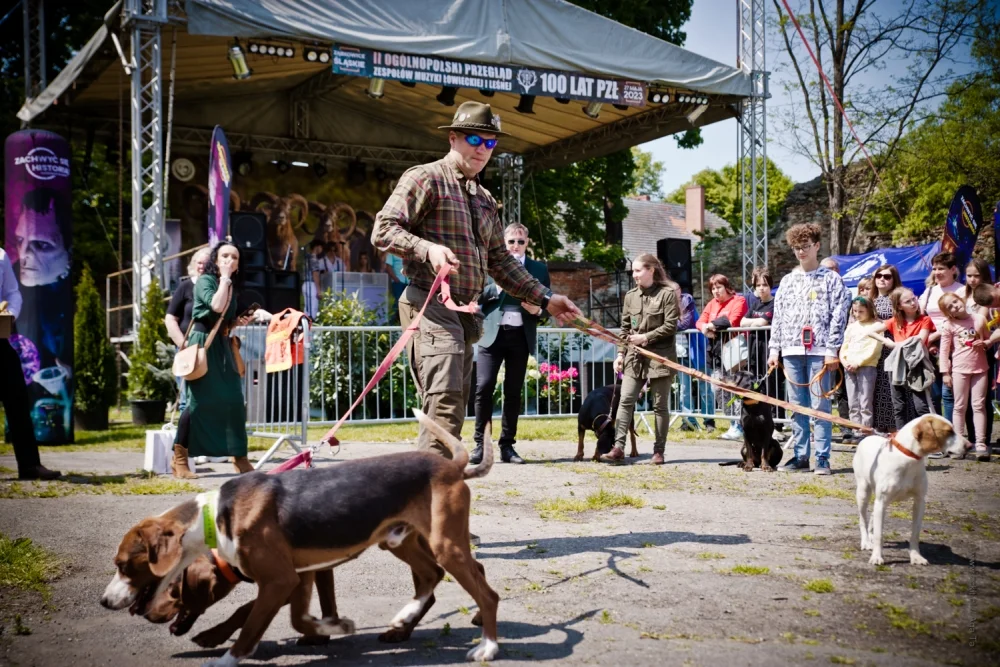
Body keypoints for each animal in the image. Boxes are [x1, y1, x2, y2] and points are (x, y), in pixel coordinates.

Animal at [101, 410, 500, 664]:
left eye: (124, 565)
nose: (104, 602)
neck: (215, 517)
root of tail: (451, 465)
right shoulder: (301, 577)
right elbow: (299, 618)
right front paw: (332, 626)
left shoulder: (279, 581)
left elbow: (248, 628)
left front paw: (224, 659)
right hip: (398, 540)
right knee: (432, 576)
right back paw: (404, 619)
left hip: (444, 545)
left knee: (485, 594)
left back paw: (487, 647)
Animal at [852, 414, 968, 568]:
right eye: (949, 431)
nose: (969, 446)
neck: (909, 459)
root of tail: (867, 438)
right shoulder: (882, 501)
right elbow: (879, 535)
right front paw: (877, 556)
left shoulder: (919, 501)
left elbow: (915, 533)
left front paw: (916, 557)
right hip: (863, 492)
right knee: (863, 519)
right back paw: (865, 541)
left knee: (872, 517)